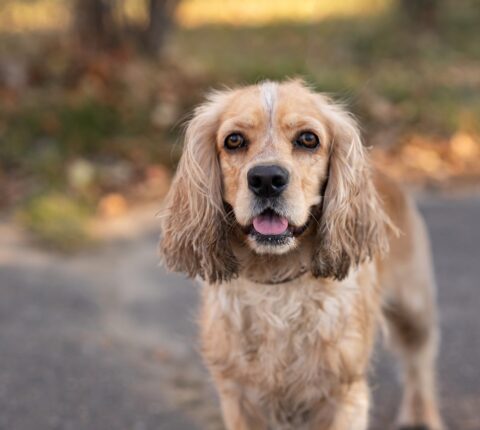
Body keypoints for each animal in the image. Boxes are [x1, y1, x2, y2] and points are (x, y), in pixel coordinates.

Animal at [159, 80, 444, 430]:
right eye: (234, 140)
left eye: (309, 139)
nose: (267, 178)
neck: (277, 283)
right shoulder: (239, 395)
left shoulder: (344, 393)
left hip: (414, 309)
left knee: (420, 364)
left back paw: (422, 416)